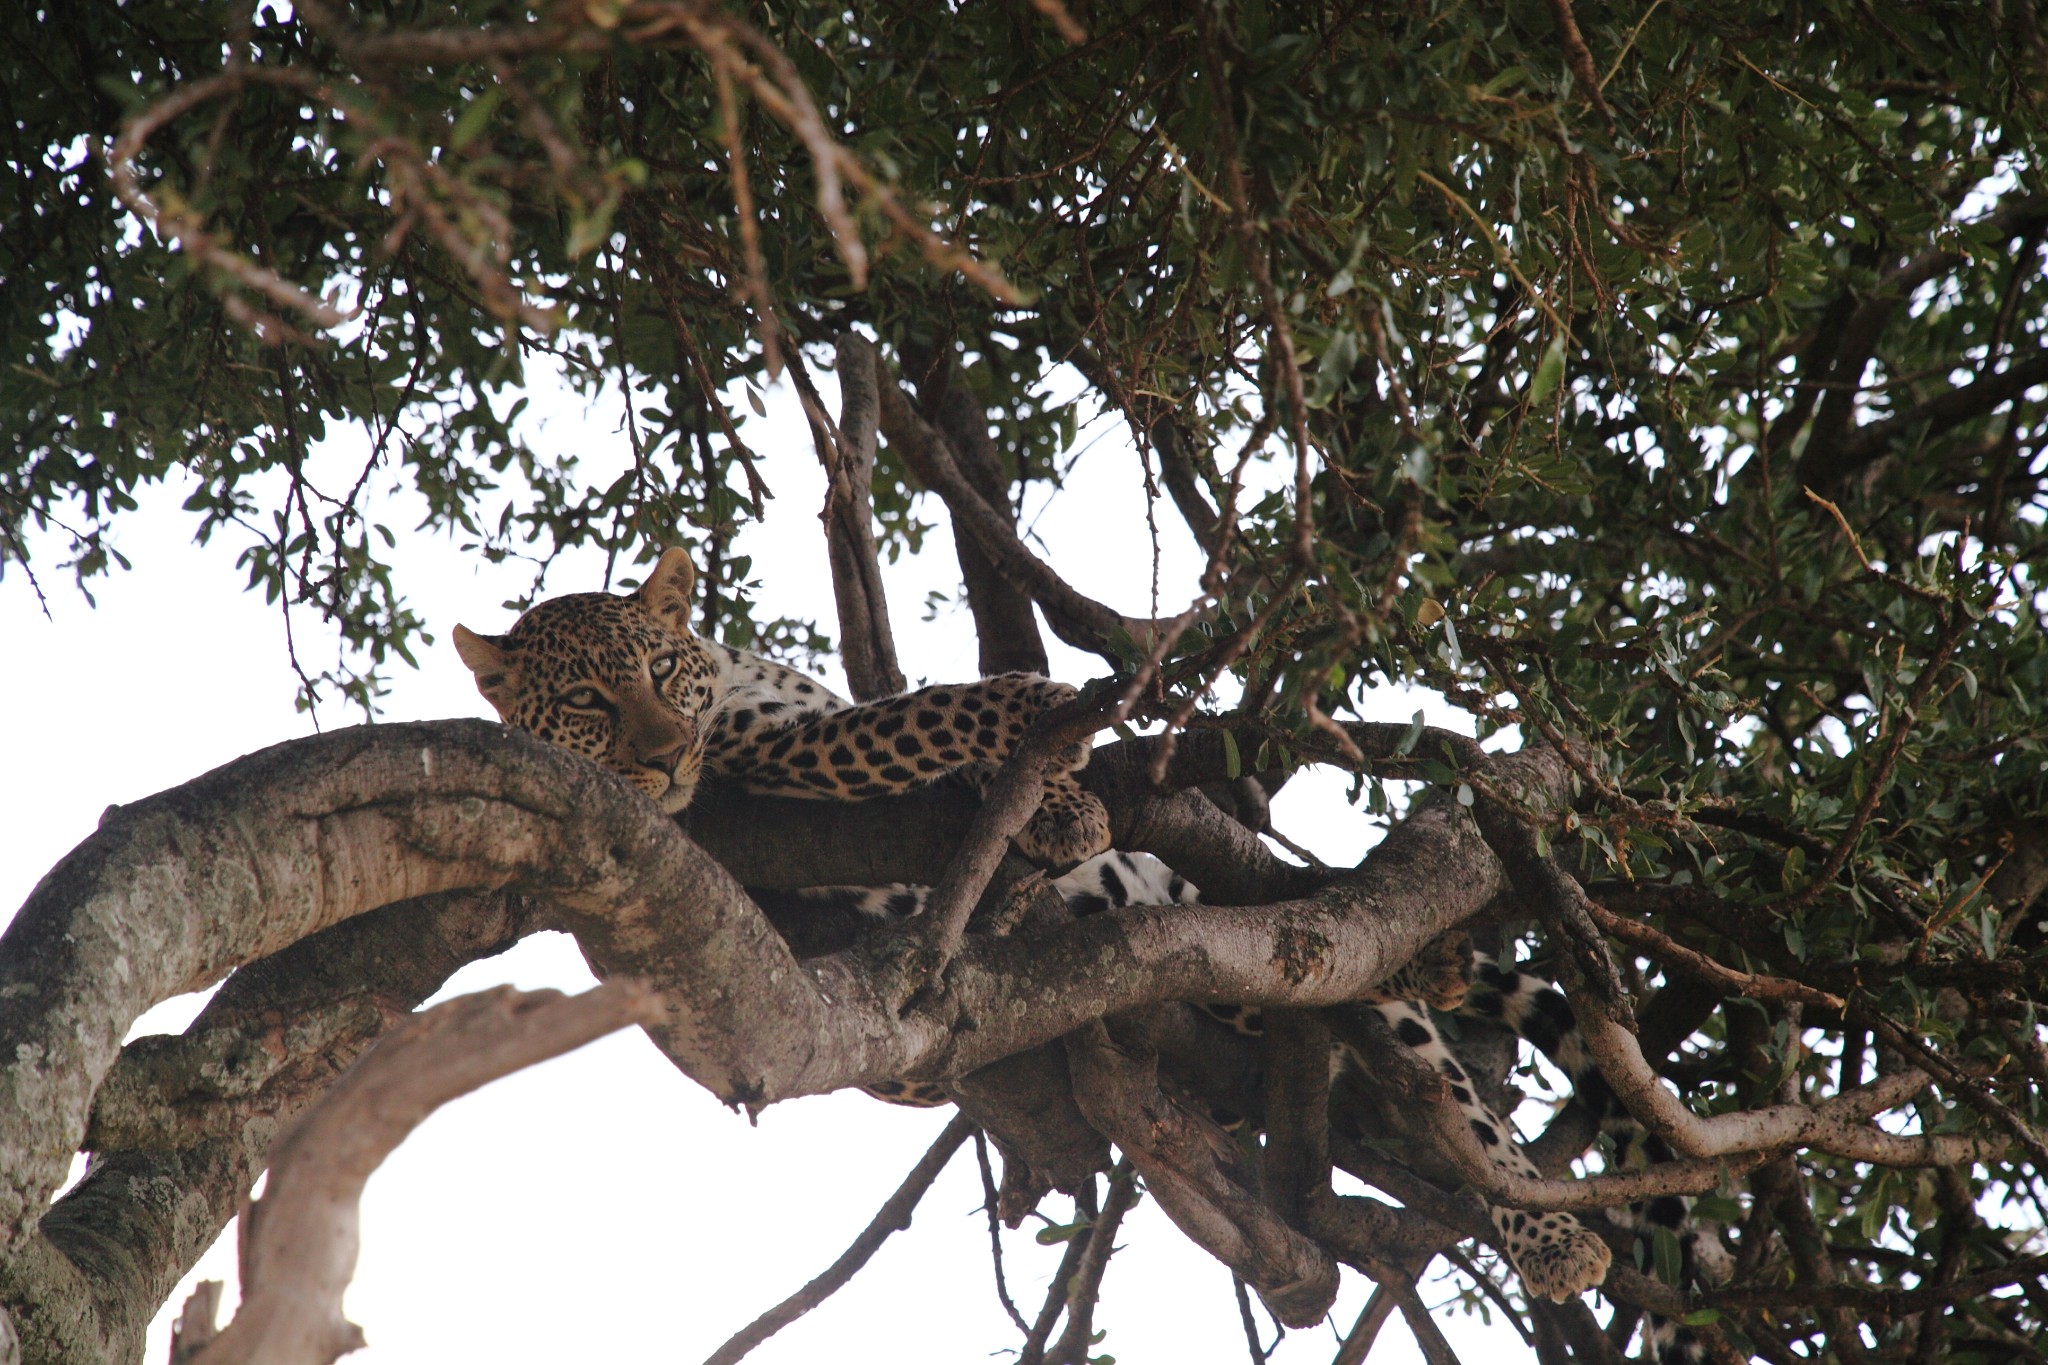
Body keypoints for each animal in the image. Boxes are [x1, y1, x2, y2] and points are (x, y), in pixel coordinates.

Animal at [454, 544, 1114, 863]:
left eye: (660, 668)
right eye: (583, 699)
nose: (667, 758)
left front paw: (1061, 806)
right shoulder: (781, 743)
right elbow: (927, 712)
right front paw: (1037, 703)